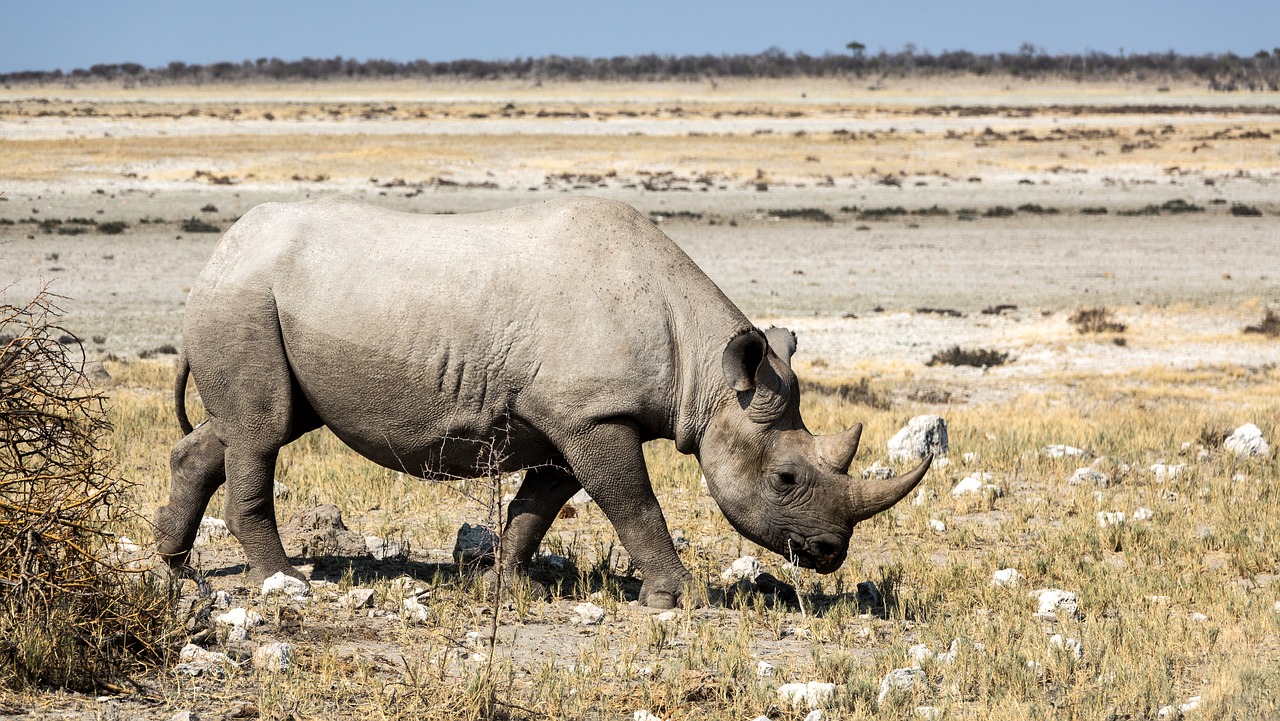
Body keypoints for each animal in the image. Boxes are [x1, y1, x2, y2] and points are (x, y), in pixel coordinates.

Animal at [154, 195, 926, 609]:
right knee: (261, 431)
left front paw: (501, 585)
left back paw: (174, 564)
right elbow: (632, 501)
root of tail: (218, 254)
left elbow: (538, 506)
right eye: (787, 478)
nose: (829, 553)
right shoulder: (593, 414)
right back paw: (284, 582)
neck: (707, 373)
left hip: (257, 299)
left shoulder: (568, 418)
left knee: (247, 428)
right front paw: (675, 597)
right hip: (245, 298)